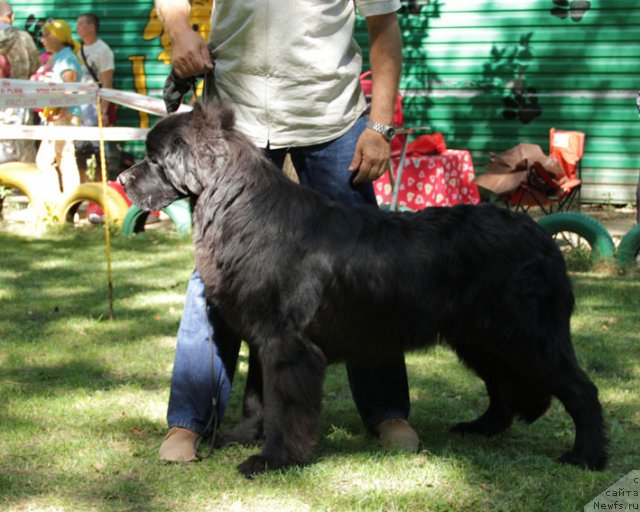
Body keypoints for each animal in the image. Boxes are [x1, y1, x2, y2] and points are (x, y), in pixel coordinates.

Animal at [119, 103, 604, 476]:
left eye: (154, 159)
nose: (122, 181)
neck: (240, 208)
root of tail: (543, 237)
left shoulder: (288, 344)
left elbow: (283, 406)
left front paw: (273, 459)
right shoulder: (263, 338)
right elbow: (258, 397)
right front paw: (244, 437)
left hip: (528, 337)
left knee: (581, 390)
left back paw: (586, 456)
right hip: (481, 339)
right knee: (502, 387)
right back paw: (481, 428)